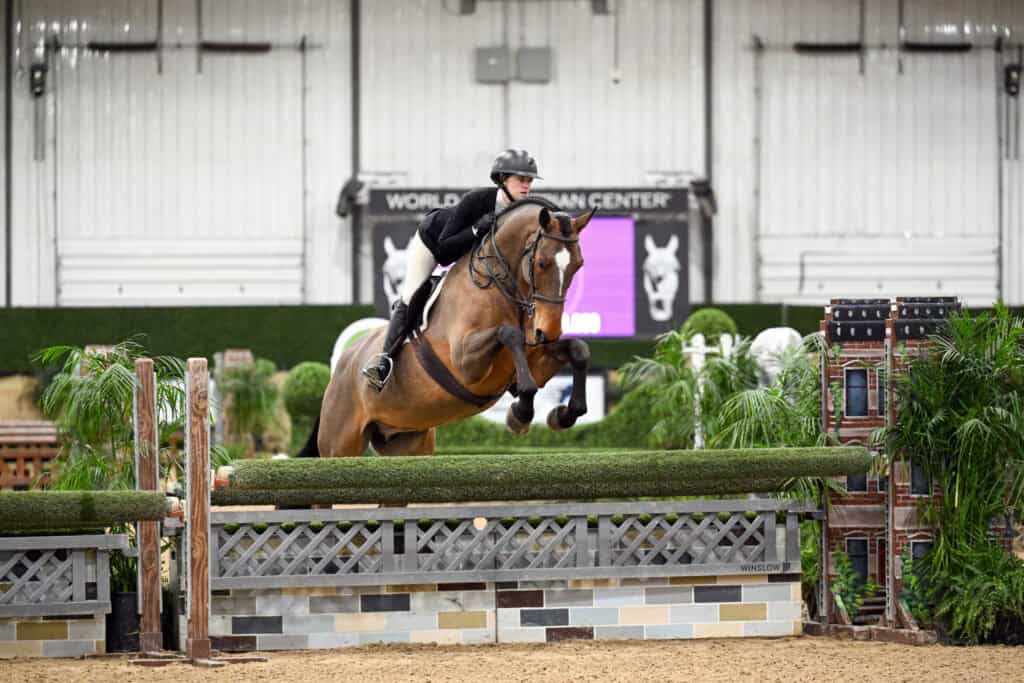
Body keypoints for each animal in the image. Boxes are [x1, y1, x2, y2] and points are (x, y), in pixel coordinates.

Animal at [303, 199, 595, 457]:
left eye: (578, 265)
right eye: (542, 263)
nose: (549, 331)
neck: (498, 285)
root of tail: (341, 366)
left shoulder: (535, 357)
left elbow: (578, 350)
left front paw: (563, 414)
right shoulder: (465, 362)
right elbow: (509, 334)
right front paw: (521, 415)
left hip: (407, 440)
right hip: (340, 444)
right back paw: (379, 368)